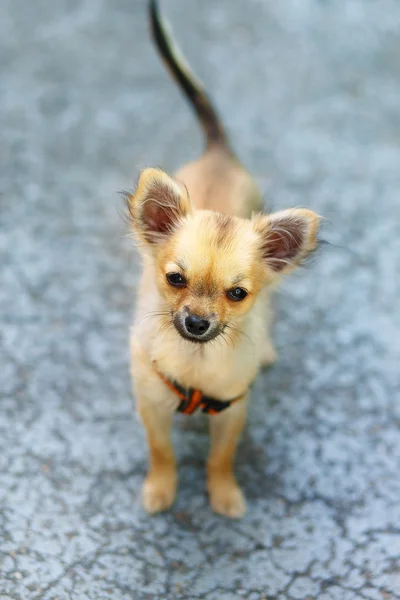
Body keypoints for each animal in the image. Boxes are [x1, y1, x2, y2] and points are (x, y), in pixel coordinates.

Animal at [126, 0, 320, 516]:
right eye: (175, 279)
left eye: (237, 294)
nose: (196, 323)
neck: (196, 364)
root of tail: (218, 150)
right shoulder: (151, 403)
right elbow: (162, 451)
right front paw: (161, 488)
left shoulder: (233, 410)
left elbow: (220, 457)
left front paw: (224, 494)